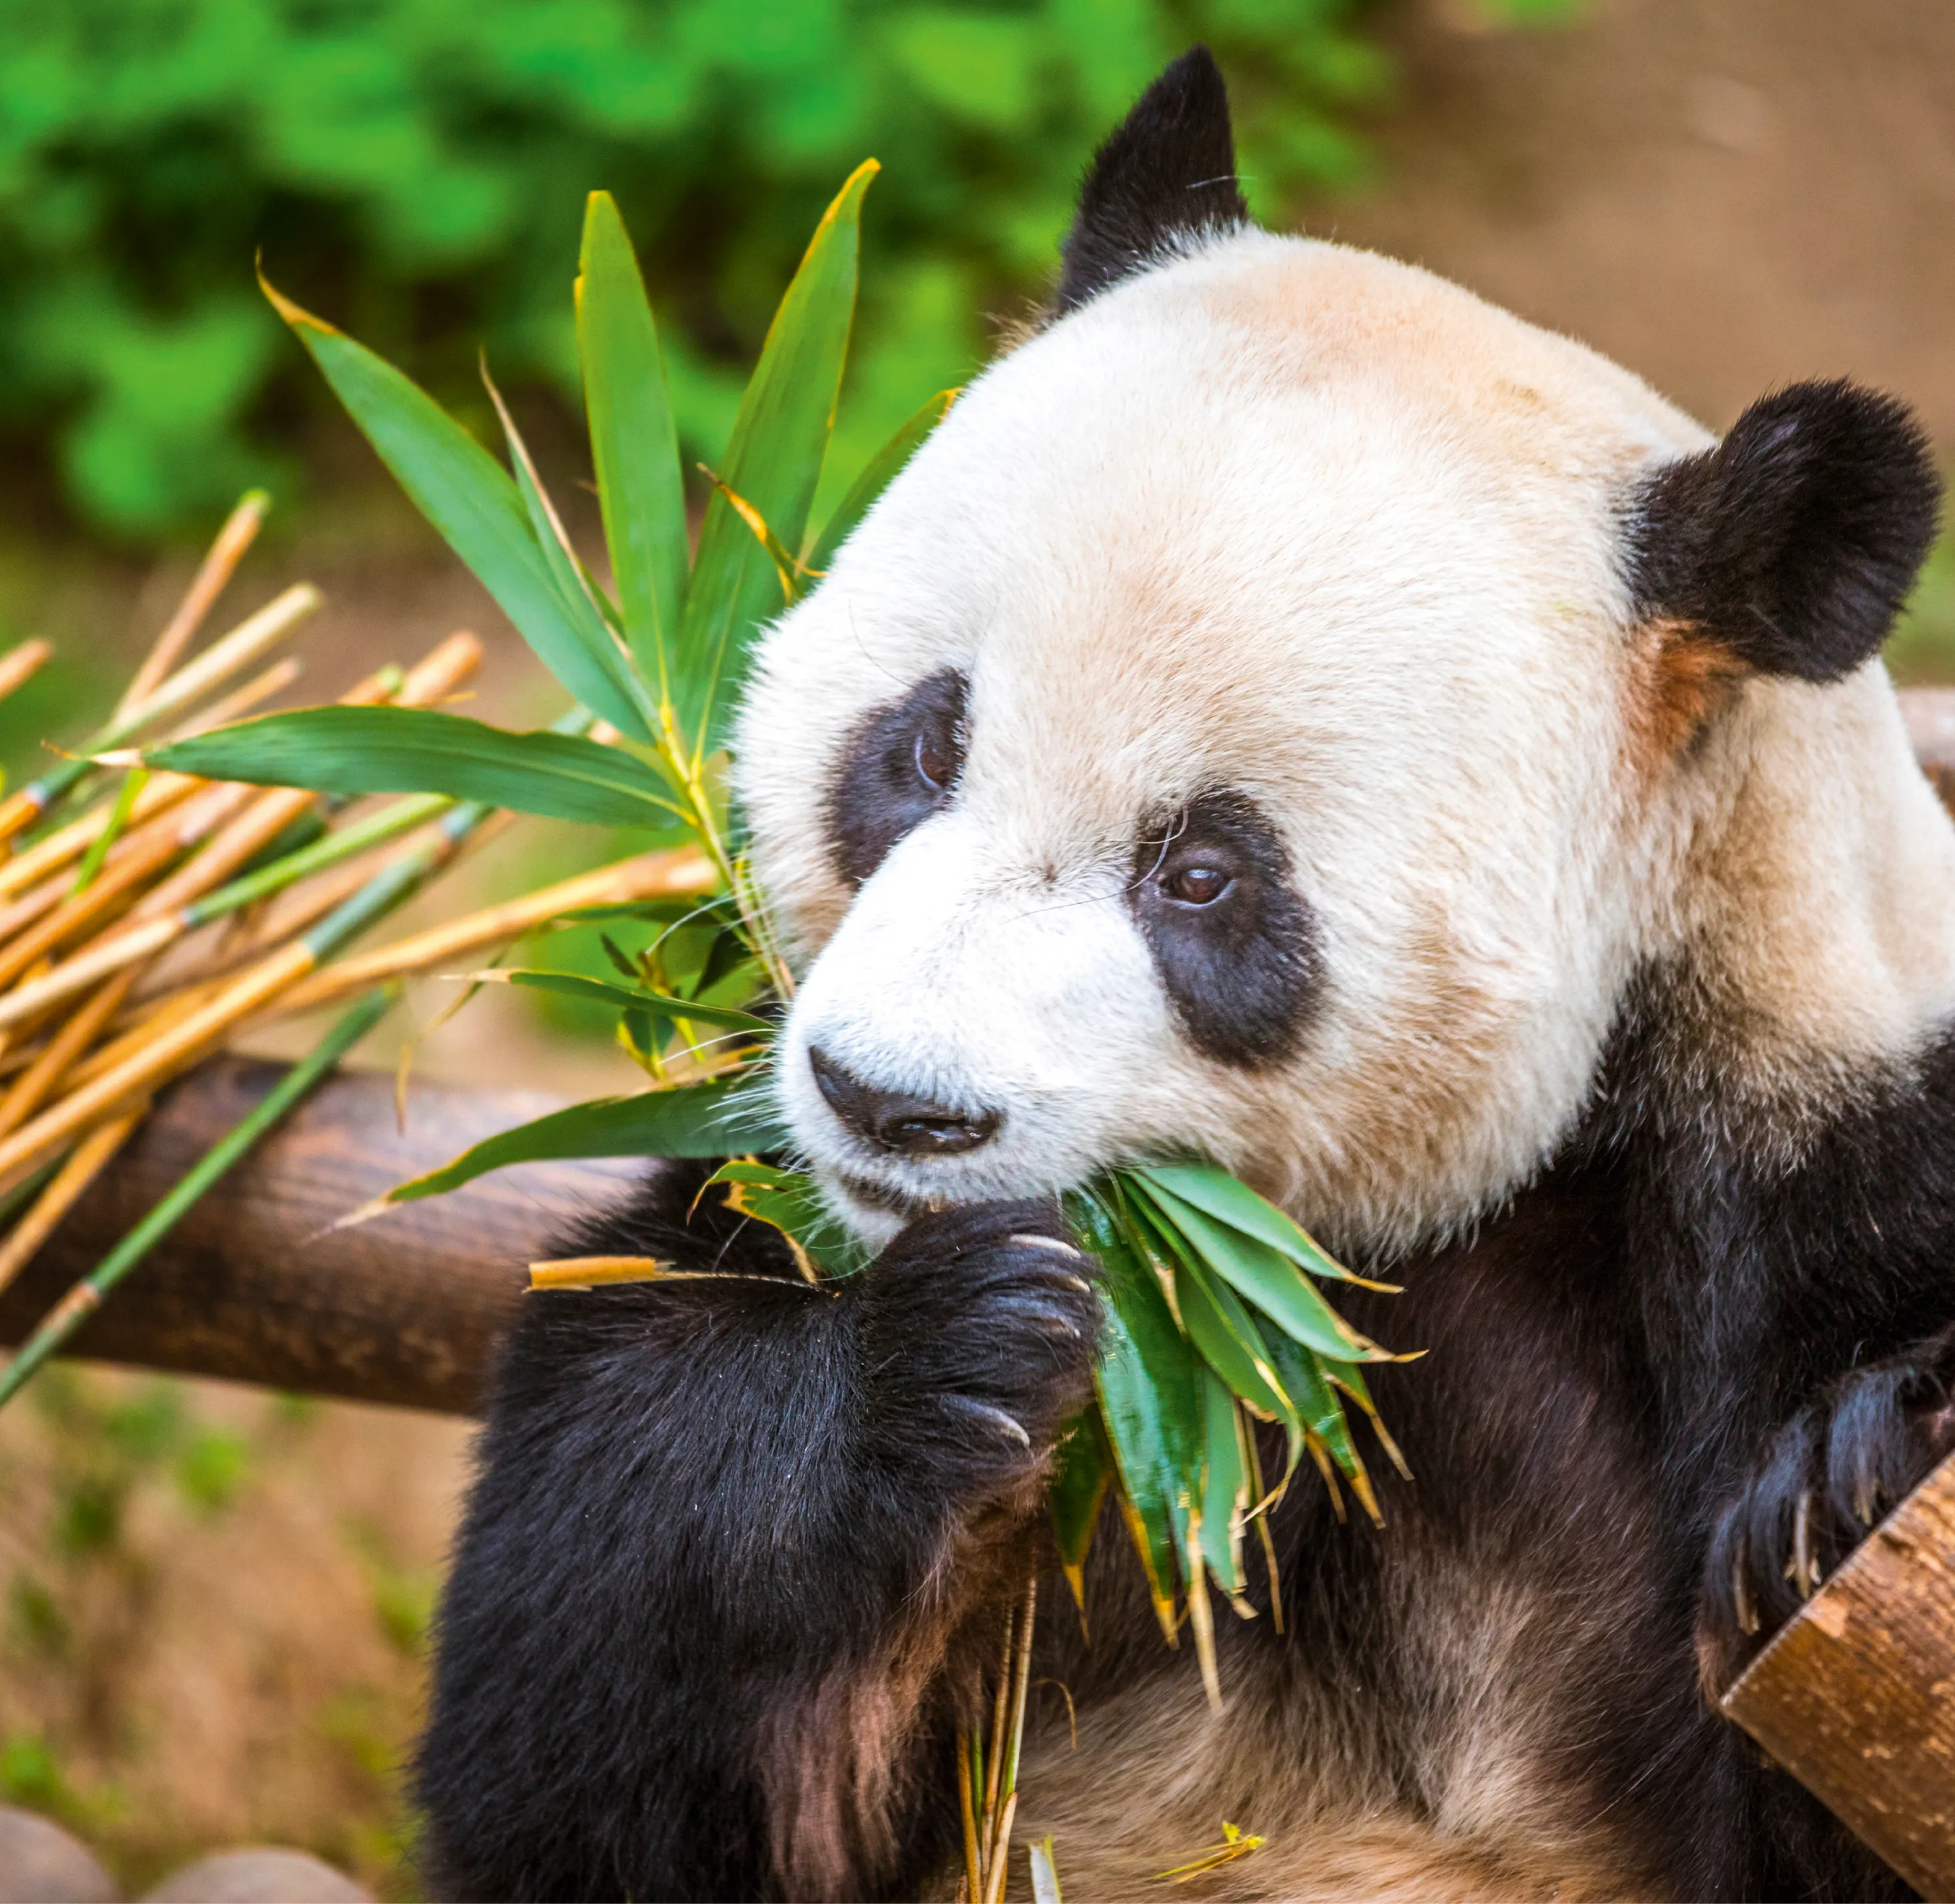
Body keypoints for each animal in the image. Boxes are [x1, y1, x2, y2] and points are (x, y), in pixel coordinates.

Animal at [413, 44, 1955, 1904]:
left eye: (1203, 874)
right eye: (922, 748)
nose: (888, 1104)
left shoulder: (1814, 1146)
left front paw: (1843, 1486)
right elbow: (594, 1723)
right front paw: (949, 1350)